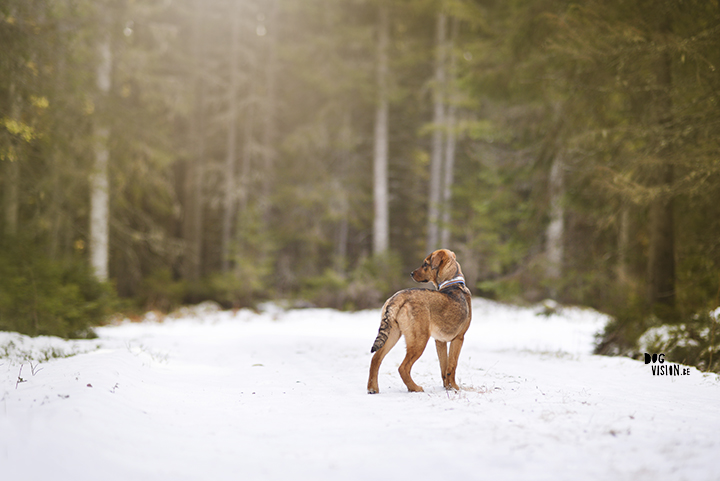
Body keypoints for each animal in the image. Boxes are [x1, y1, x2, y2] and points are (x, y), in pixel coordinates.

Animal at [366, 249, 472, 392]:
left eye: (425, 264)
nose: (411, 273)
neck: (453, 282)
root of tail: (399, 296)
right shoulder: (459, 338)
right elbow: (452, 366)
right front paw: (455, 388)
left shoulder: (440, 341)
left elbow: (444, 367)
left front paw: (447, 387)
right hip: (419, 340)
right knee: (403, 368)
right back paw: (415, 388)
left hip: (392, 334)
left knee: (376, 359)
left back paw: (373, 388)